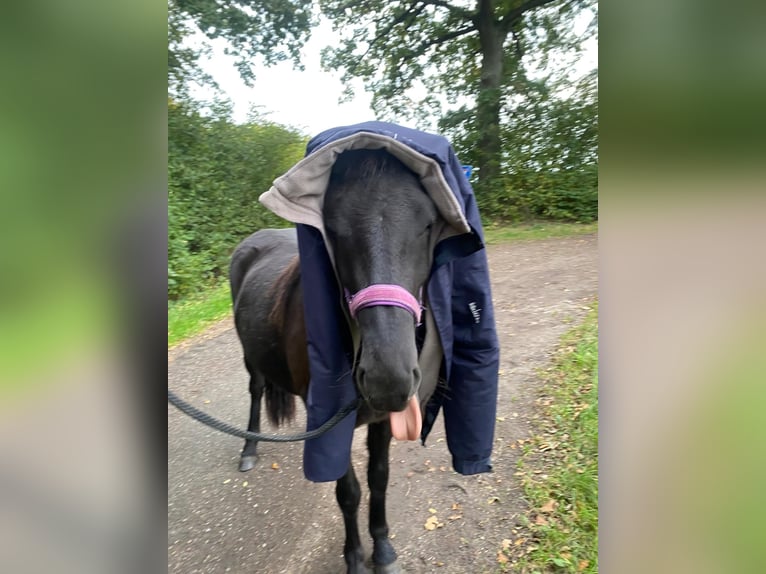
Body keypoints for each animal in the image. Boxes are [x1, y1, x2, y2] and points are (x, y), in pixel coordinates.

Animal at [231, 150, 440, 574]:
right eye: (333, 231)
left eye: (428, 225)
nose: (387, 379)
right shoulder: (332, 423)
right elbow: (349, 492)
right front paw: (356, 559)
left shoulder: (381, 420)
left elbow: (379, 479)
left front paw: (383, 549)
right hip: (250, 359)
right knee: (256, 391)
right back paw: (249, 449)